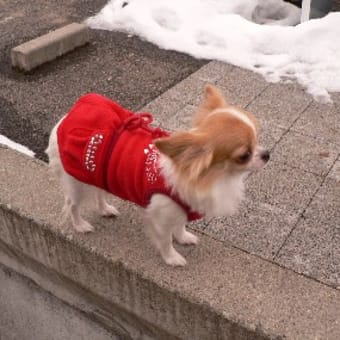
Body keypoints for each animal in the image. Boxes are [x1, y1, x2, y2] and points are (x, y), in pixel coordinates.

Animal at [46, 84, 270, 266]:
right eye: (244, 155)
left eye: (258, 139)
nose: (267, 153)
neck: (216, 178)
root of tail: (66, 118)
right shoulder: (161, 215)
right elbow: (166, 239)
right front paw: (172, 258)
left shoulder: (181, 208)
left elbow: (179, 226)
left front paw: (183, 238)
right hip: (76, 184)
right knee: (71, 205)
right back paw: (80, 225)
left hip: (97, 175)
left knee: (99, 193)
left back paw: (105, 209)